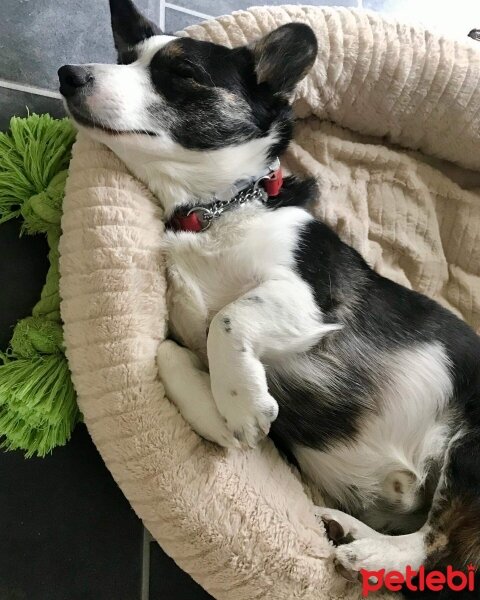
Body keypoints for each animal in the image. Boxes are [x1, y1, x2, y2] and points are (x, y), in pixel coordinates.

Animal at [59, 0, 480, 584]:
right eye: (125, 59)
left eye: (181, 72)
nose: (68, 75)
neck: (215, 210)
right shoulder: (185, 334)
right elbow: (169, 352)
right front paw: (230, 415)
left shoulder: (309, 296)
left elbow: (231, 316)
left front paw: (243, 404)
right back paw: (349, 529)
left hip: (472, 448)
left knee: (436, 543)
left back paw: (374, 552)